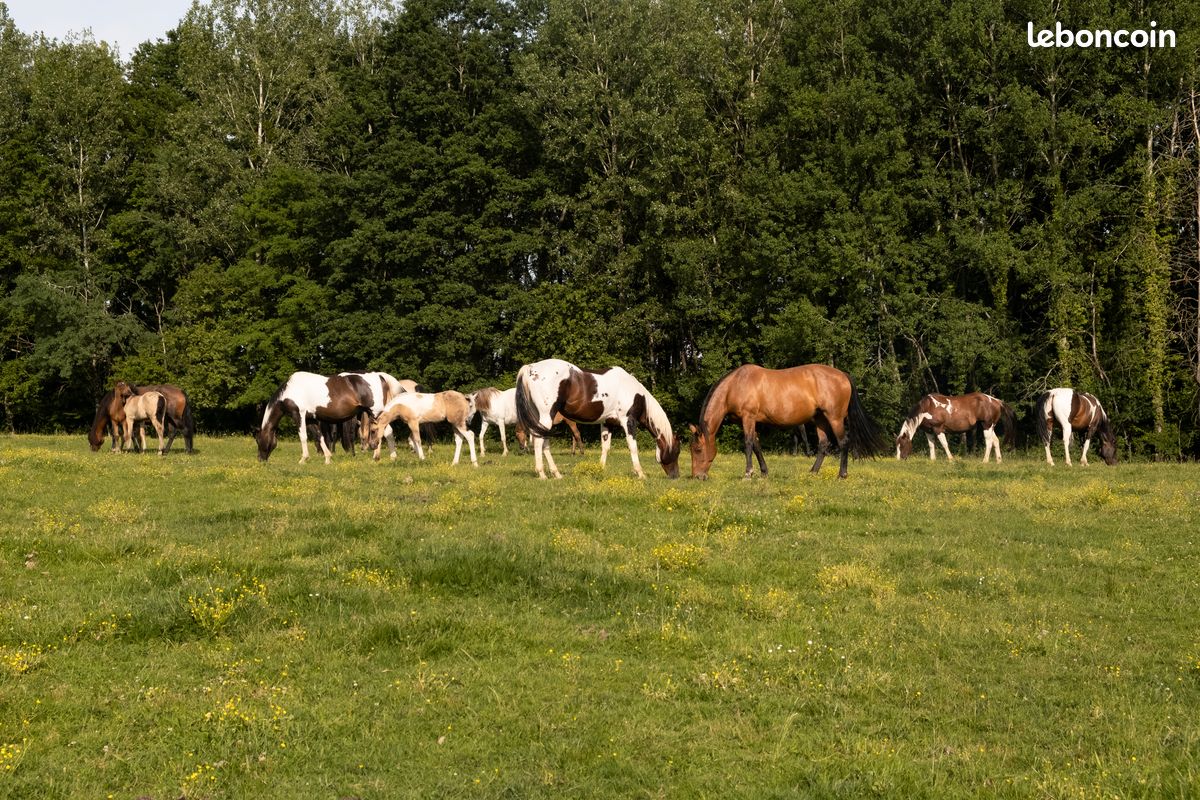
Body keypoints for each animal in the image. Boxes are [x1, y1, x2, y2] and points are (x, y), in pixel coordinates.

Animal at [514, 359, 680, 480]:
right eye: (677, 451)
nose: (675, 476)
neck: (636, 394)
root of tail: (531, 368)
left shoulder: (607, 423)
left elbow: (605, 447)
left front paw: (599, 470)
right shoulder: (629, 421)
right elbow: (632, 447)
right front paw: (640, 473)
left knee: (544, 444)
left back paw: (556, 474)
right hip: (546, 417)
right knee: (539, 442)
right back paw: (542, 474)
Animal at [688, 364, 885, 480]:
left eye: (697, 449)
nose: (698, 476)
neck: (736, 384)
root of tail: (843, 375)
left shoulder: (748, 418)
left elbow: (748, 444)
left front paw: (748, 473)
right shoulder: (751, 421)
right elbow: (757, 445)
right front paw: (764, 472)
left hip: (834, 418)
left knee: (843, 442)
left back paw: (842, 474)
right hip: (820, 419)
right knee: (823, 444)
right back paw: (813, 472)